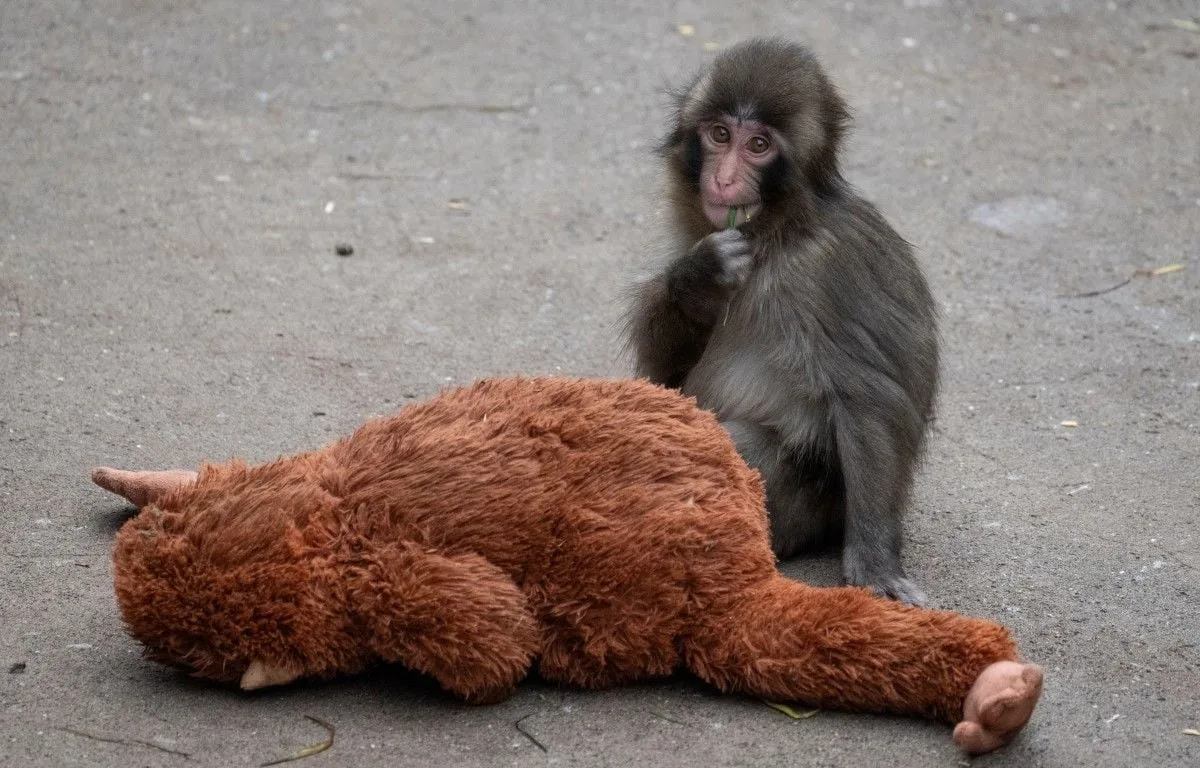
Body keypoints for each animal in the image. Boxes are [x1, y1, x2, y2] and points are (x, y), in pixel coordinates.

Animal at [625, 38, 938, 605]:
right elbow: (664, 377)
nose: (724, 178)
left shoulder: (826, 269)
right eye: (720, 135)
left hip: (799, 504)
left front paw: (876, 563)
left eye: (758, 145)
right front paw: (699, 279)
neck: (778, 233)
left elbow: (869, 399)